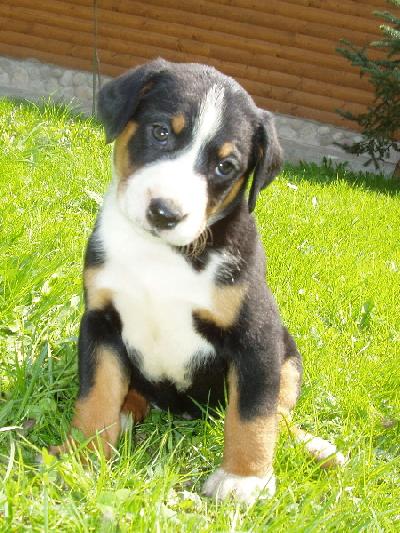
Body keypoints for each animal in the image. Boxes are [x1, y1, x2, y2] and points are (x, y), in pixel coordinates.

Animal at [51, 58, 344, 504]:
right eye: (160, 132)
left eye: (226, 166)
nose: (165, 212)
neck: (162, 254)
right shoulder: (101, 322)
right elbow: (97, 395)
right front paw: (81, 456)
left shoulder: (256, 336)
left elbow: (254, 413)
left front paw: (244, 478)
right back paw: (126, 412)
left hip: (288, 353)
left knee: (279, 413)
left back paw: (315, 447)